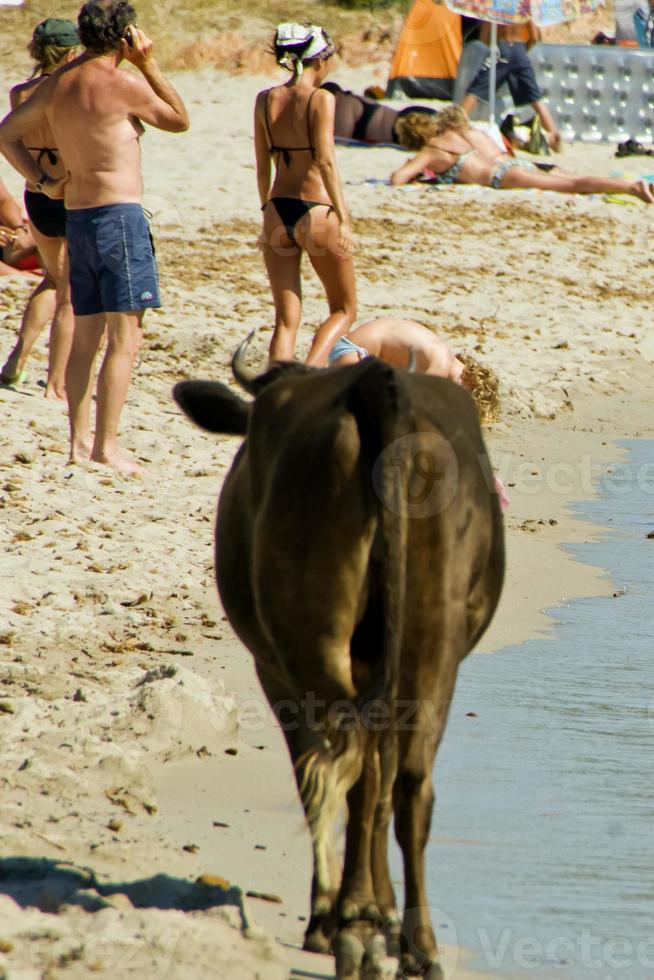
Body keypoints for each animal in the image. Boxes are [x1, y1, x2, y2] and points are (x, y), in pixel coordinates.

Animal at [174, 338, 508, 980]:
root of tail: (376, 386)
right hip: (432, 640)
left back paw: (351, 925)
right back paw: (416, 945)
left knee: (350, 771)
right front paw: (385, 916)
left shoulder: (276, 672)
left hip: (316, 638)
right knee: (406, 781)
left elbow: (317, 779)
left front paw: (330, 918)